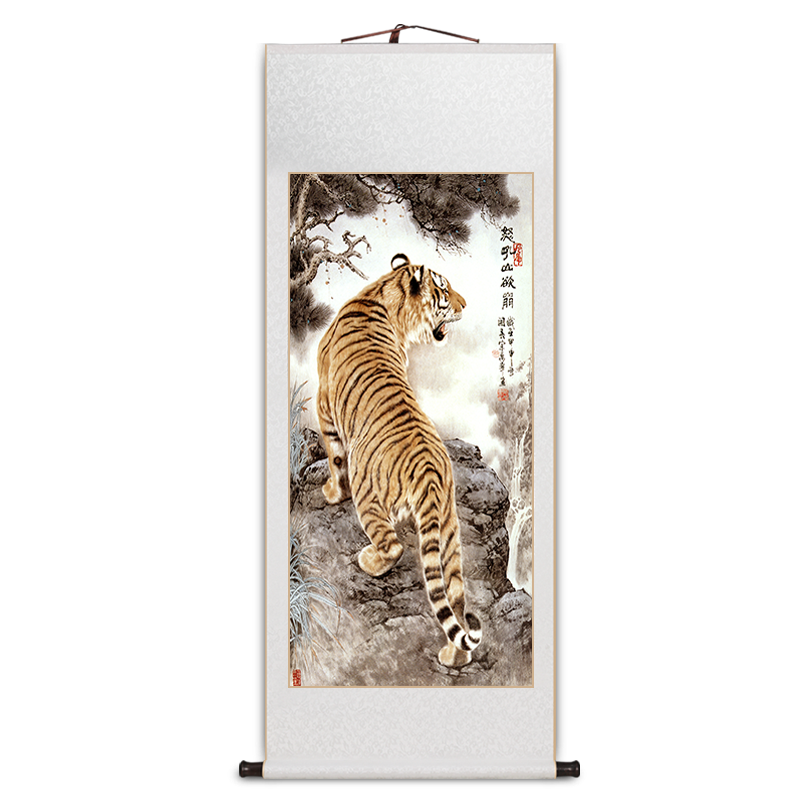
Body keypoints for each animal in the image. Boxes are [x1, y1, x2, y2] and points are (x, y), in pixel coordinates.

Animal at [316, 252, 482, 668]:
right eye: (445, 290)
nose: (465, 304)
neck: (382, 294)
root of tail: (431, 472)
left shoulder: (324, 405)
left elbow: (335, 458)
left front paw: (331, 493)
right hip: (449, 533)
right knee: (456, 599)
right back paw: (453, 657)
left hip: (370, 497)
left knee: (392, 547)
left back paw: (368, 561)